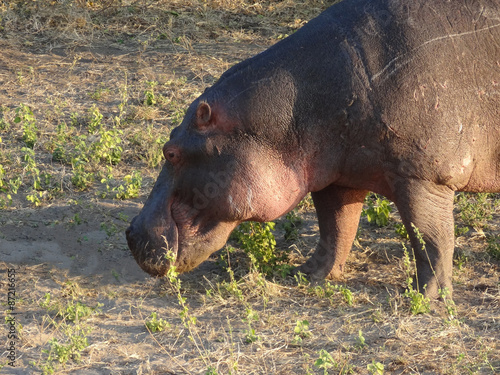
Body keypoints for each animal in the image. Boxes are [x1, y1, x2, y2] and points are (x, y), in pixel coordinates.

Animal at [127, 0, 500, 300]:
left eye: (171, 152)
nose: (131, 233)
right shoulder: (337, 176)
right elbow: (335, 229)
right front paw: (307, 275)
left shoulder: (421, 176)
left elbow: (430, 239)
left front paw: (427, 297)